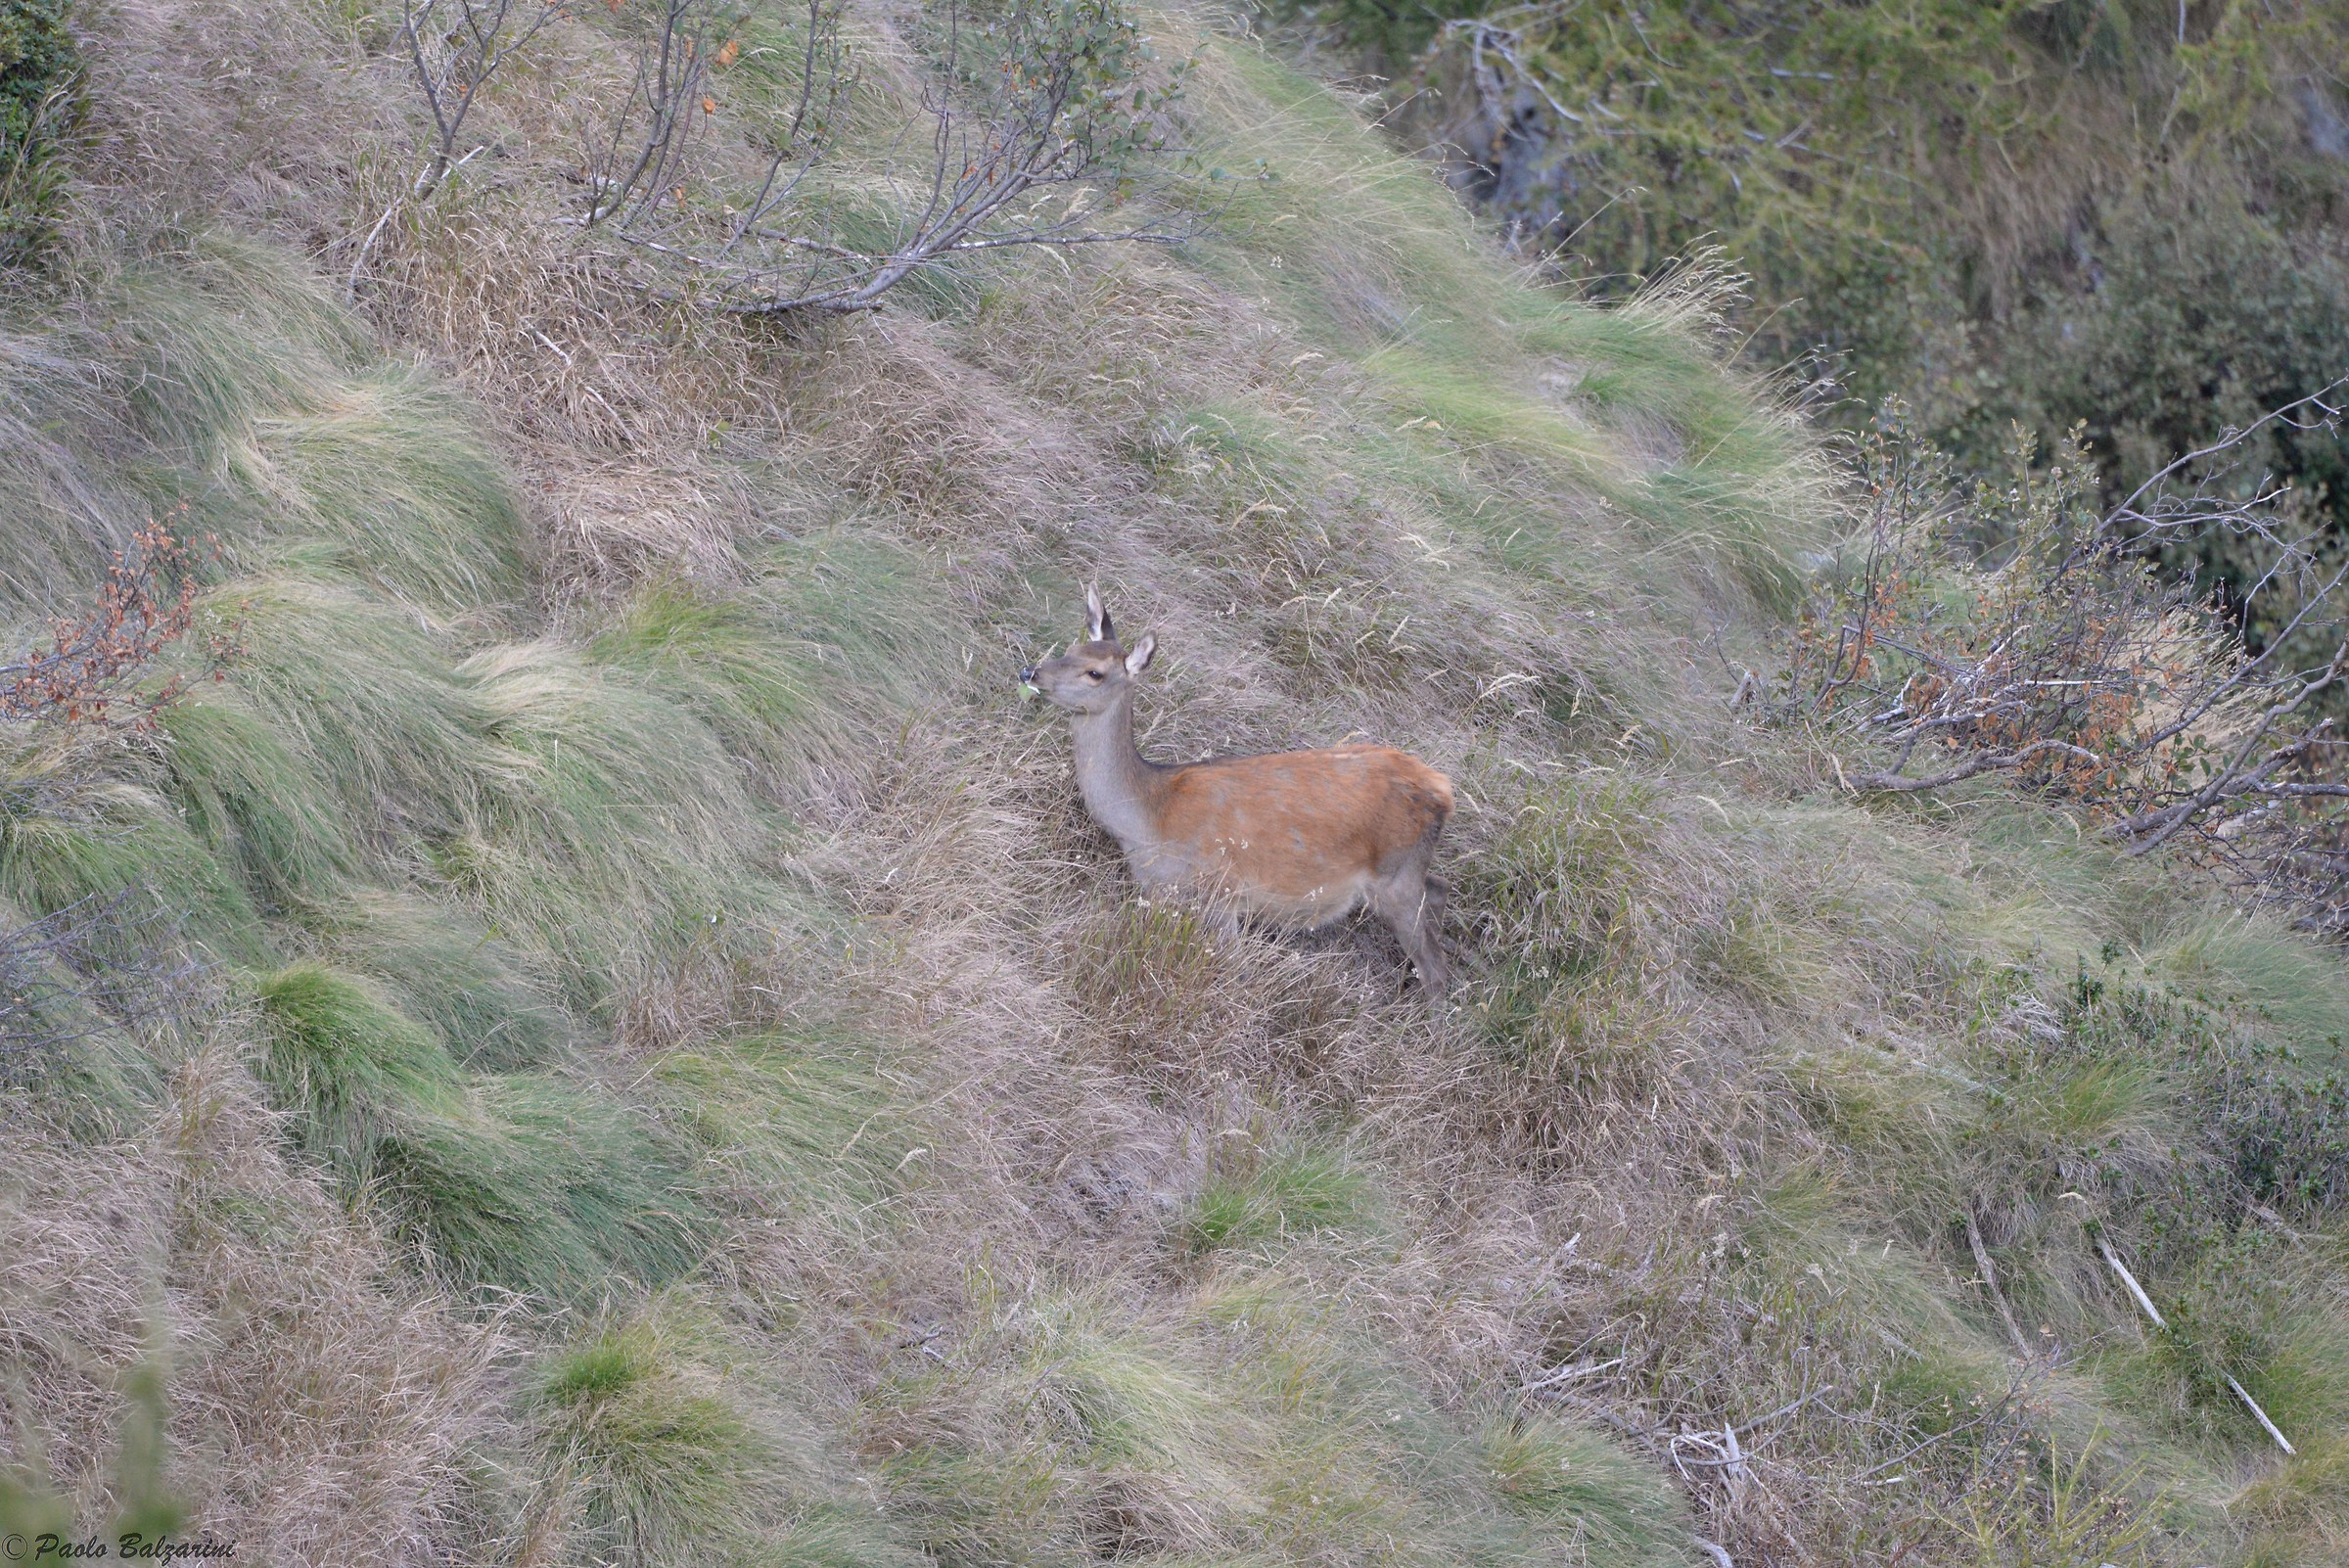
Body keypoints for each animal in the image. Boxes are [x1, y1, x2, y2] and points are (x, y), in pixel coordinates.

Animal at [1020, 587, 1454, 999]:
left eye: (1094, 672)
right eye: (1070, 648)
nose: (1030, 672)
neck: (1148, 818)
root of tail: (1443, 790)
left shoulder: (1221, 891)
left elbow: (1231, 967)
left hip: (1396, 875)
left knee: (1435, 969)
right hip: (1406, 873)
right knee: (1439, 891)